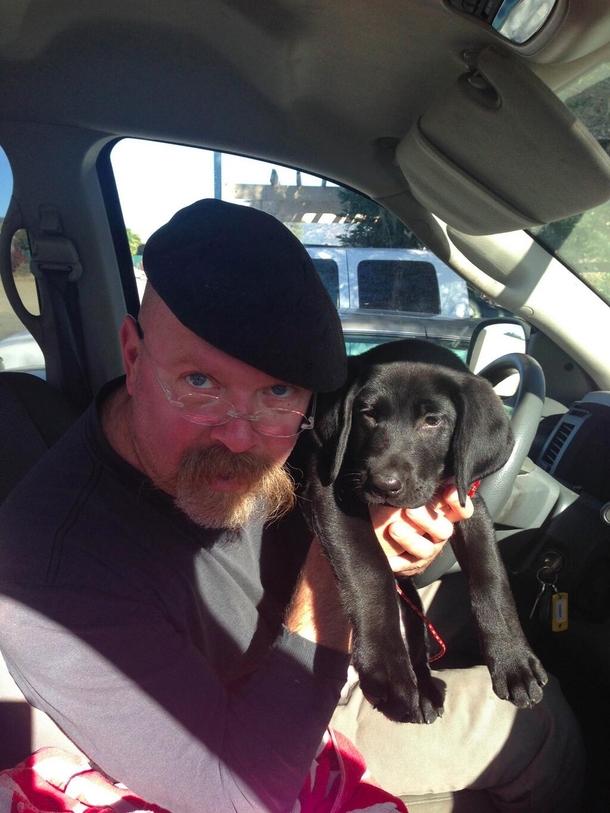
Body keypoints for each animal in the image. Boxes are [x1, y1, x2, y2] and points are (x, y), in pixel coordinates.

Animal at [290, 336, 548, 724]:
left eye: (432, 421)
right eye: (368, 414)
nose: (383, 484)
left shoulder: (467, 501)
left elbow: (489, 574)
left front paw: (513, 658)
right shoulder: (330, 488)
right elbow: (370, 570)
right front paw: (388, 671)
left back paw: (425, 687)